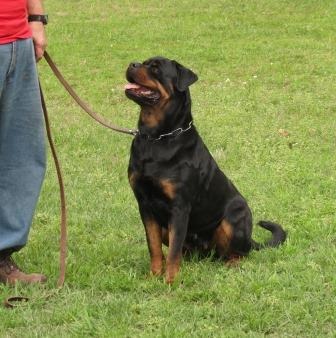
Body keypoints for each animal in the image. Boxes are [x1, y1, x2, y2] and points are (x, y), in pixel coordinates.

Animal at [124, 56, 286, 284]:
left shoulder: (180, 207)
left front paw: (170, 281)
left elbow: (172, 253)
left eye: (155, 68)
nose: (132, 64)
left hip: (234, 217)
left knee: (239, 253)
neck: (157, 138)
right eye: (143, 62)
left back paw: (232, 263)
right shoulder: (145, 204)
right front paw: (154, 276)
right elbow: (154, 246)